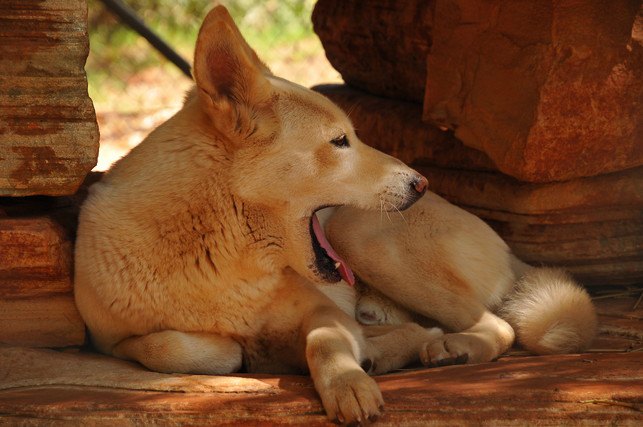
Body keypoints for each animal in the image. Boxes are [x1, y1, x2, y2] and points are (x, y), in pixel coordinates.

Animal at [73, 5, 446, 424]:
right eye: (339, 141)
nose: (420, 183)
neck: (221, 261)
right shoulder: (107, 340)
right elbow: (166, 348)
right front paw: (236, 350)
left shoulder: (325, 312)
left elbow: (324, 343)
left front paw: (348, 382)